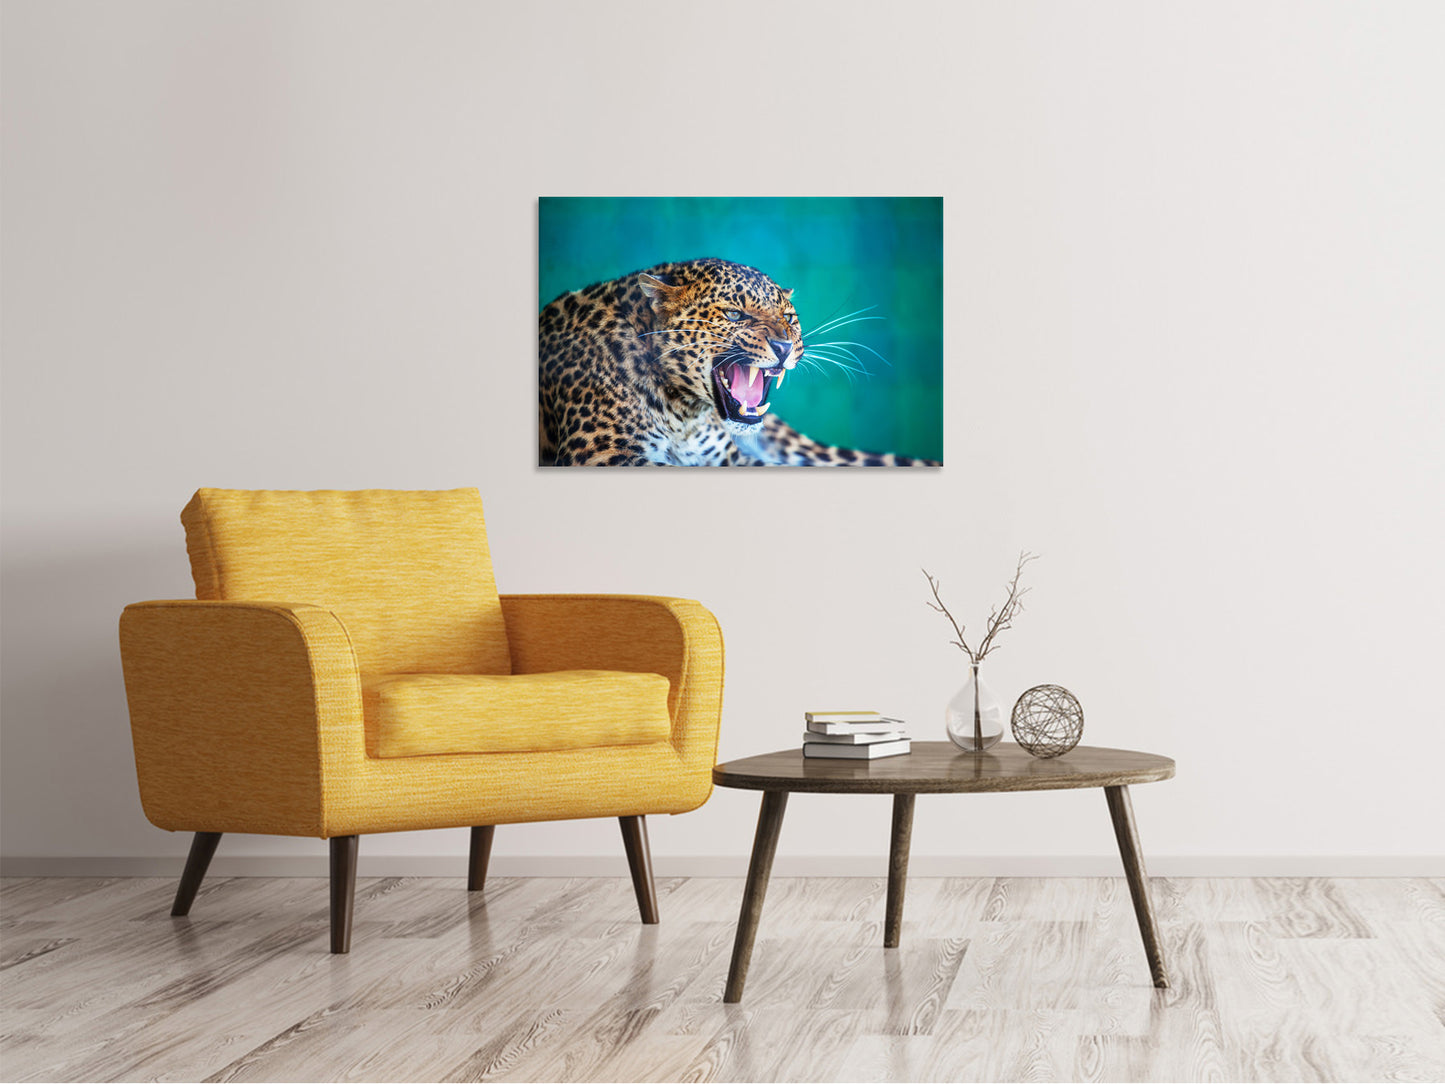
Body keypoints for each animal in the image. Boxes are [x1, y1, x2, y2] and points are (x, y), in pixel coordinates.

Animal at [538, 258, 940, 466]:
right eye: (734, 315)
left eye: (789, 318)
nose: (784, 346)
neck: (683, 415)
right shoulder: (600, 454)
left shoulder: (733, 460)